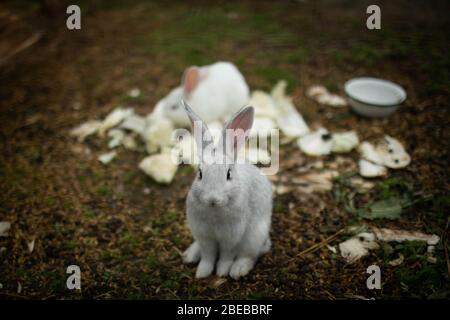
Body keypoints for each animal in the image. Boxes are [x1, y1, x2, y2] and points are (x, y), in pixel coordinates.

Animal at [181, 101, 272, 278]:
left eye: (229, 174)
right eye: (199, 173)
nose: (212, 199)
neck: (214, 212)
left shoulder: (231, 237)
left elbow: (226, 255)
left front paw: (222, 272)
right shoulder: (204, 235)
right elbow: (208, 255)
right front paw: (202, 273)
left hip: (255, 237)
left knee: (249, 255)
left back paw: (238, 270)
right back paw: (189, 255)